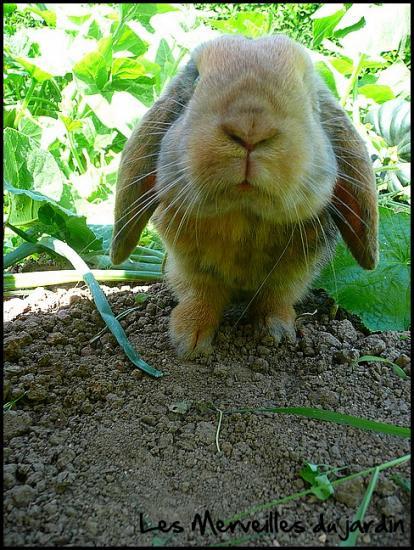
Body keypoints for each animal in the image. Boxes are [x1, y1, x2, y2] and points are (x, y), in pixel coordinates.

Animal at [110, 35, 378, 362]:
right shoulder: (188, 267)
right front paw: (189, 342)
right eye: (195, 79)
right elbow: (200, 296)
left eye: (309, 92)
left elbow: (276, 298)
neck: (242, 216)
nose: (251, 128)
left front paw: (277, 334)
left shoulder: (292, 275)